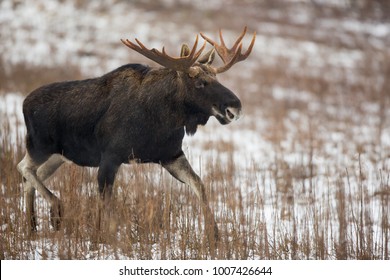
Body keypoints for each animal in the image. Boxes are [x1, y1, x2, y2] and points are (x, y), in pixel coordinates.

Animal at [17, 26, 256, 243]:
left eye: (217, 78)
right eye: (199, 82)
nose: (235, 107)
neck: (164, 118)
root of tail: (24, 103)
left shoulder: (171, 155)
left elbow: (199, 184)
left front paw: (214, 235)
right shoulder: (110, 156)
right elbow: (106, 202)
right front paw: (105, 237)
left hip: (58, 156)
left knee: (32, 177)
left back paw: (32, 226)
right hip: (39, 146)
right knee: (24, 168)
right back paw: (55, 210)